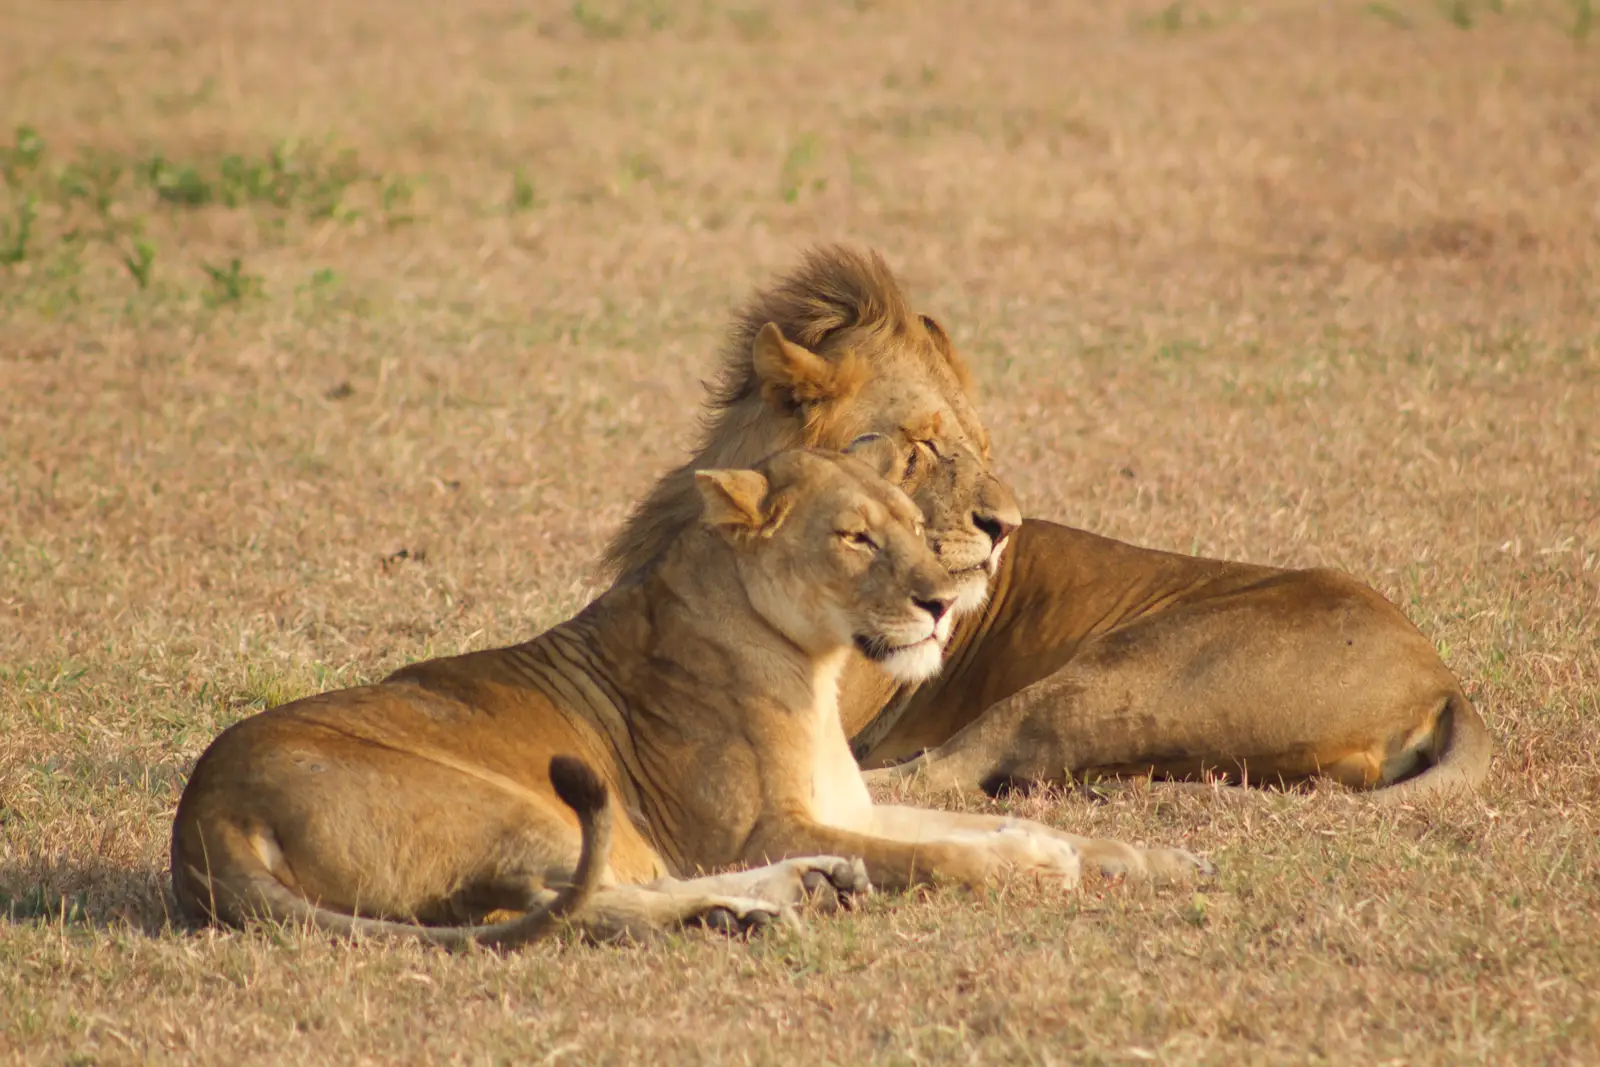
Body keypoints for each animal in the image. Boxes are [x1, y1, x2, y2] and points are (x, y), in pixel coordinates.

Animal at [172, 447, 1203, 947]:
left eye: (914, 524)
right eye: (855, 538)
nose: (944, 604)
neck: (814, 665)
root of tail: (205, 818)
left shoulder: (843, 806)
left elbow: (974, 826)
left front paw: (1139, 856)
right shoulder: (754, 826)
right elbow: (938, 856)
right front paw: (1028, 868)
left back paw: (792, 893)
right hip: (523, 800)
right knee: (569, 902)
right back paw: (752, 910)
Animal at [601, 247, 1484, 799]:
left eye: (982, 446)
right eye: (926, 442)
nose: (1006, 526)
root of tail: (1440, 676)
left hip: (1133, 666)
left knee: (952, 766)